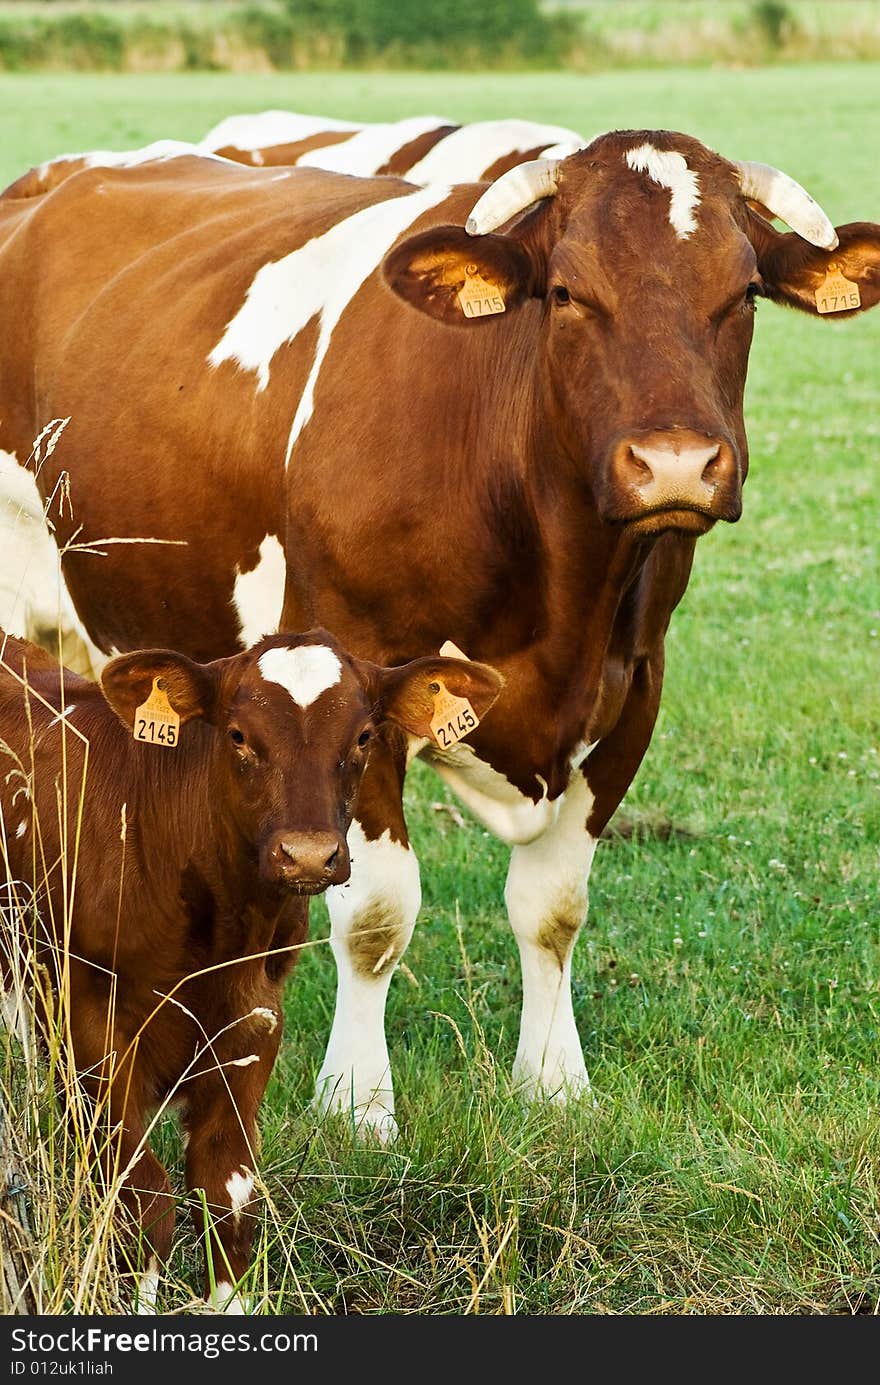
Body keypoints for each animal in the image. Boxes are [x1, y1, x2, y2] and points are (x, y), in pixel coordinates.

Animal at [0, 132, 875, 1146]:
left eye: (743, 294)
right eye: (566, 292)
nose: (674, 465)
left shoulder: (636, 688)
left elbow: (554, 906)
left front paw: (553, 1084)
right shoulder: (358, 682)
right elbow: (377, 913)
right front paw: (357, 1104)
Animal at [0, 628, 501, 1307]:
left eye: (363, 736)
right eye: (238, 735)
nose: (308, 855)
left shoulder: (254, 1022)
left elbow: (226, 1195)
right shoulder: (87, 1026)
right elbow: (144, 1200)